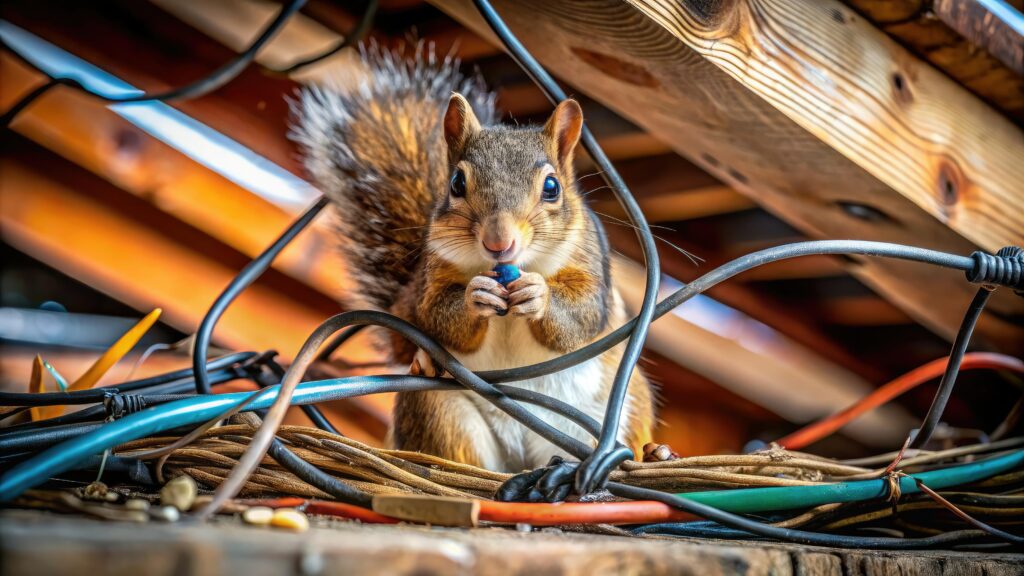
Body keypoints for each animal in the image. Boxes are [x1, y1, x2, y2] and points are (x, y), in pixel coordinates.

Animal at [292, 47, 651, 471]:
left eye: (552, 187)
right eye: (456, 183)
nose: (499, 242)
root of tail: (521, 457)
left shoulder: (591, 262)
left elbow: (582, 315)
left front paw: (539, 293)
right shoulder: (433, 271)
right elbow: (435, 314)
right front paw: (474, 296)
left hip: (621, 408)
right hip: (440, 409)